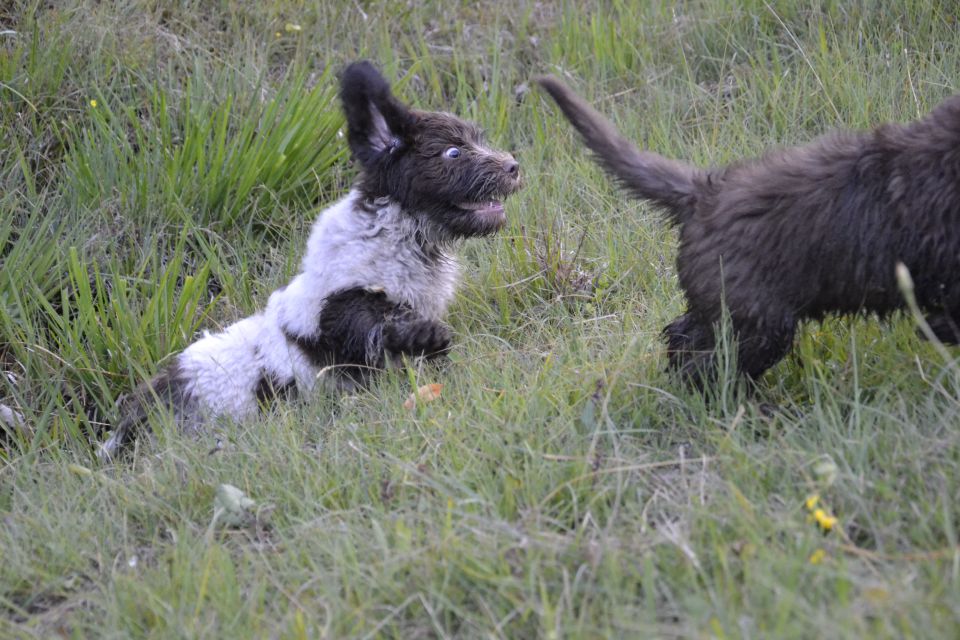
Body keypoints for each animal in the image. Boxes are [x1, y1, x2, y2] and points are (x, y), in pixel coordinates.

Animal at [101, 61, 520, 456]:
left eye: (476, 140)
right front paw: (427, 338)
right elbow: (381, 325)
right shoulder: (340, 308)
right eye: (453, 152)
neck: (397, 235)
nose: (513, 167)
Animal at [540, 77, 960, 382]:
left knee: (683, 339)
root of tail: (702, 194)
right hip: (758, 322)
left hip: (725, 309)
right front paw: (937, 330)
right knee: (708, 367)